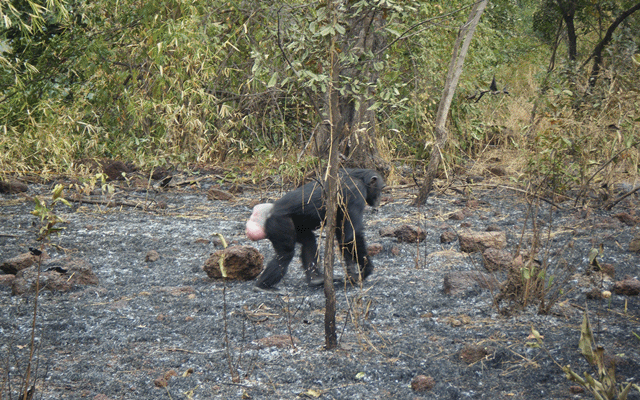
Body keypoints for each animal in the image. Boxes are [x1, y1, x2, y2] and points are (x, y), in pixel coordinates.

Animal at [246, 167, 384, 292]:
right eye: (381, 189)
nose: (380, 198)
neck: (360, 178)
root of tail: (269, 212)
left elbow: (344, 235)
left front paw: (351, 271)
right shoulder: (356, 193)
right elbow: (351, 235)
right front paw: (366, 268)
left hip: (298, 226)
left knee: (309, 242)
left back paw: (315, 279)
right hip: (279, 223)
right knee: (285, 254)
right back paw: (262, 286)